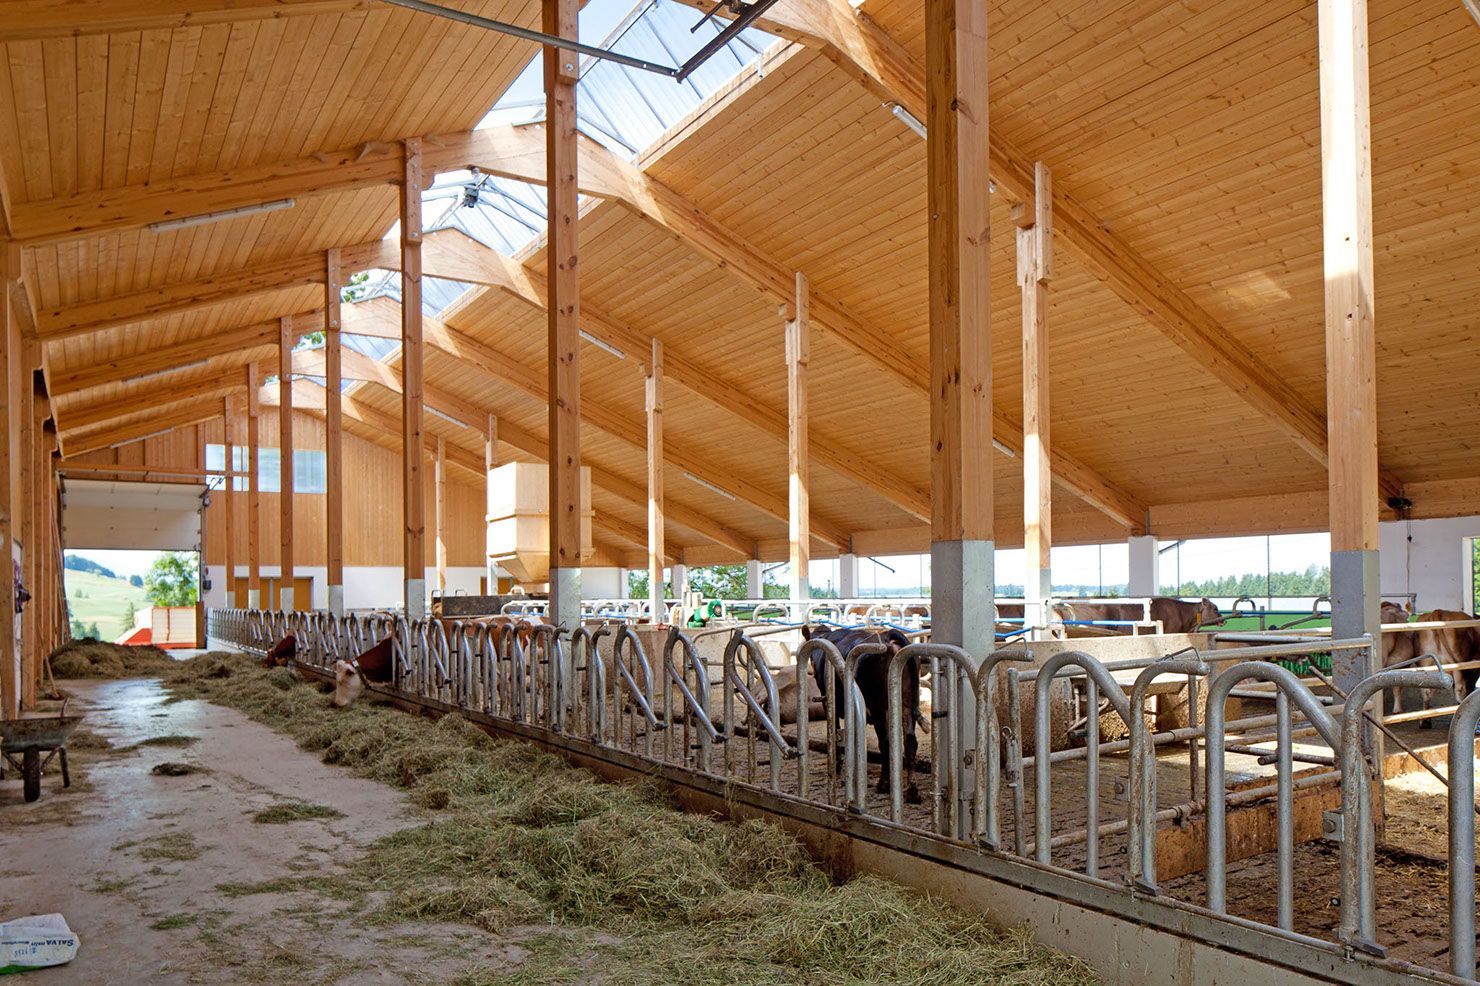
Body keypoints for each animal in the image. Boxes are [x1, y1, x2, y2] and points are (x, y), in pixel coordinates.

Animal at [801, 625, 924, 803]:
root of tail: (886, 636)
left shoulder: (828, 700)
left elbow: (835, 732)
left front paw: (837, 768)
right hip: (908, 702)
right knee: (910, 741)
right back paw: (912, 792)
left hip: (876, 704)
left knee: (885, 741)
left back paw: (883, 785)